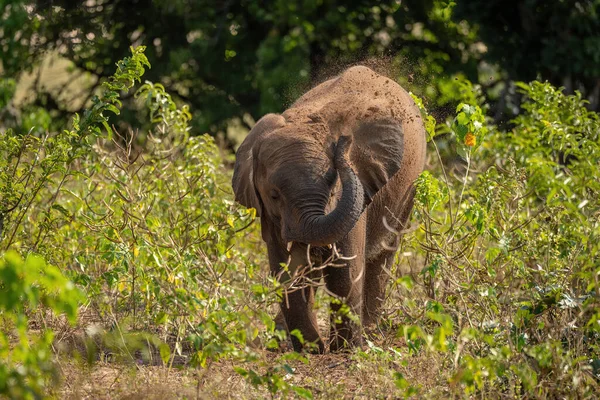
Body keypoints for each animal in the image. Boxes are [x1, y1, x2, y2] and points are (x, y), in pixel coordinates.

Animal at [231, 66, 426, 354]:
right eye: (274, 196)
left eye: (333, 190)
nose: (343, 142)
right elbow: (282, 265)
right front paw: (310, 349)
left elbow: (345, 268)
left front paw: (345, 350)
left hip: (409, 188)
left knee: (384, 255)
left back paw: (370, 334)